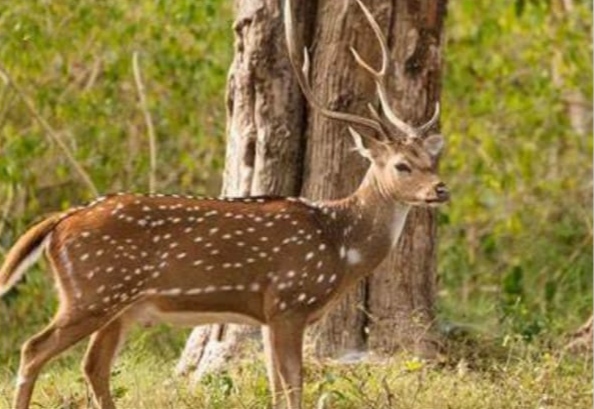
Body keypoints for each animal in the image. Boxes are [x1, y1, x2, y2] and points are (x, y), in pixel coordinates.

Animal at [0, 0, 444, 408]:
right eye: (402, 165)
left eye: (431, 159)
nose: (440, 189)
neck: (340, 246)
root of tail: (60, 221)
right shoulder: (289, 300)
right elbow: (293, 389)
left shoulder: (267, 315)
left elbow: (279, 389)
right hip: (94, 291)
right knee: (33, 350)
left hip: (118, 304)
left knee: (93, 365)